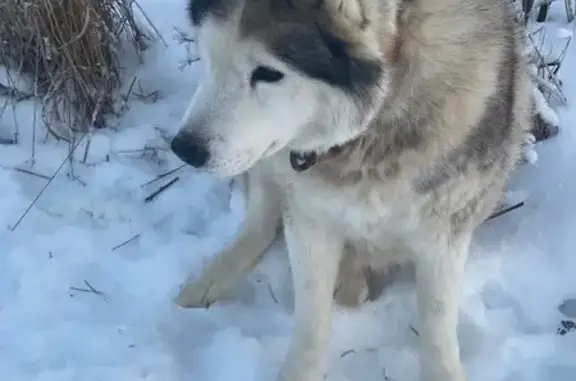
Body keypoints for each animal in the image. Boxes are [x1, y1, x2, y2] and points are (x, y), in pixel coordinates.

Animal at [170, 0, 532, 380]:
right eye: (210, 52)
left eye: (268, 73)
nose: (185, 149)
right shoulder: (308, 219)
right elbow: (311, 322)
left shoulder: (445, 234)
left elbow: (436, 323)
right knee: (260, 226)